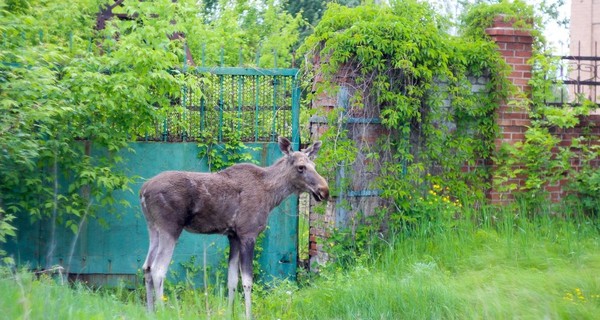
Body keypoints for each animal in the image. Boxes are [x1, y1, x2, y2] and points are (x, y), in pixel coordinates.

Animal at [139, 136, 328, 318]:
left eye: (314, 165)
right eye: (301, 167)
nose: (324, 190)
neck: (271, 195)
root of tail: (143, 191)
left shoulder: (233, 236)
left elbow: (231, 279)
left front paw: (230, 312)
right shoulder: (248, 233)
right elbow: (247, 281)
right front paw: (248, 314)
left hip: (153, 228)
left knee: (146, 267)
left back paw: (150, 312)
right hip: (170, 227)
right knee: (158, 270)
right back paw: (162, 312)